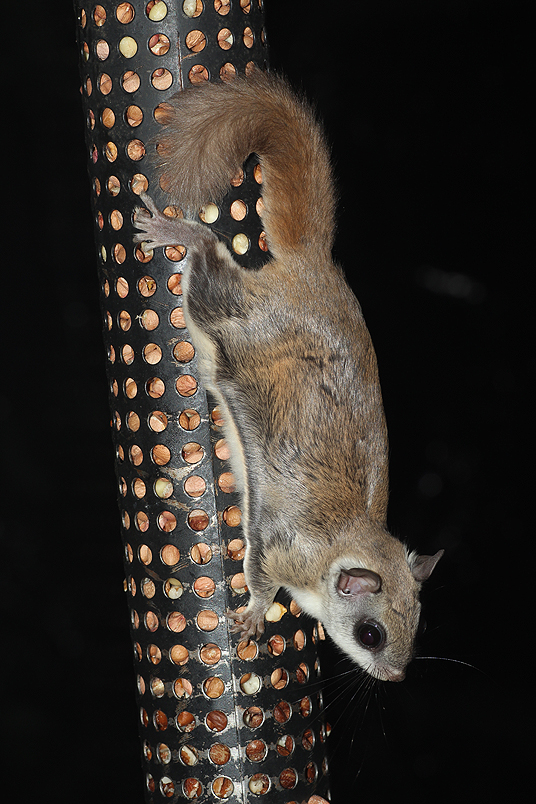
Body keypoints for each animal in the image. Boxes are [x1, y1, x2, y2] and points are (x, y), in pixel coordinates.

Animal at [133, 71, 443, 682]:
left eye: (419, 627)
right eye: (371, 634)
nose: (396, 677)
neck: (343, 544)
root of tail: (310, 268)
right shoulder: (278, 544)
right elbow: (257, 573)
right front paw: (256, 612)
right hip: (225, 316)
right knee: (209, 258)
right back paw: (178, 232)